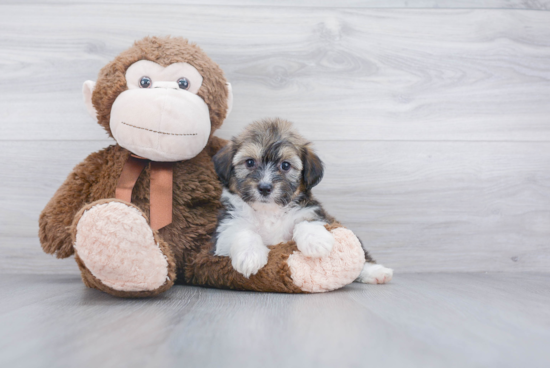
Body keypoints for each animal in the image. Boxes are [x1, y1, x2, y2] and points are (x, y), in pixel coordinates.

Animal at [211, 118, 392, 284]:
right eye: (249, 162)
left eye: (285, 165)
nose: (265, 187)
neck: (269, 212)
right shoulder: (226, 229)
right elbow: (244, 232)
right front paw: (249, 256)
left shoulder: (314, 213)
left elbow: (305, 222)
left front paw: (316, 241)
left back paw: (376, 272)